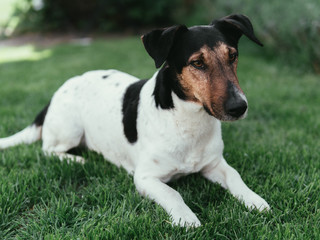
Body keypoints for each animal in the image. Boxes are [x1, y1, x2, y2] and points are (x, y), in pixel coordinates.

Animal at [0, 14, 270, 227]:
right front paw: (186, 219)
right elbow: (173, 194)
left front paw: (255, 200)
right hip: (70, 129)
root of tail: (59, 90)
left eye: (233, 56)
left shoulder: (214, 164)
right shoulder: (145, 178)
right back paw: (75, 159)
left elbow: (235, 177)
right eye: (197, 63)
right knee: (47, 149)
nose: (239, 107)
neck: (188, 120)